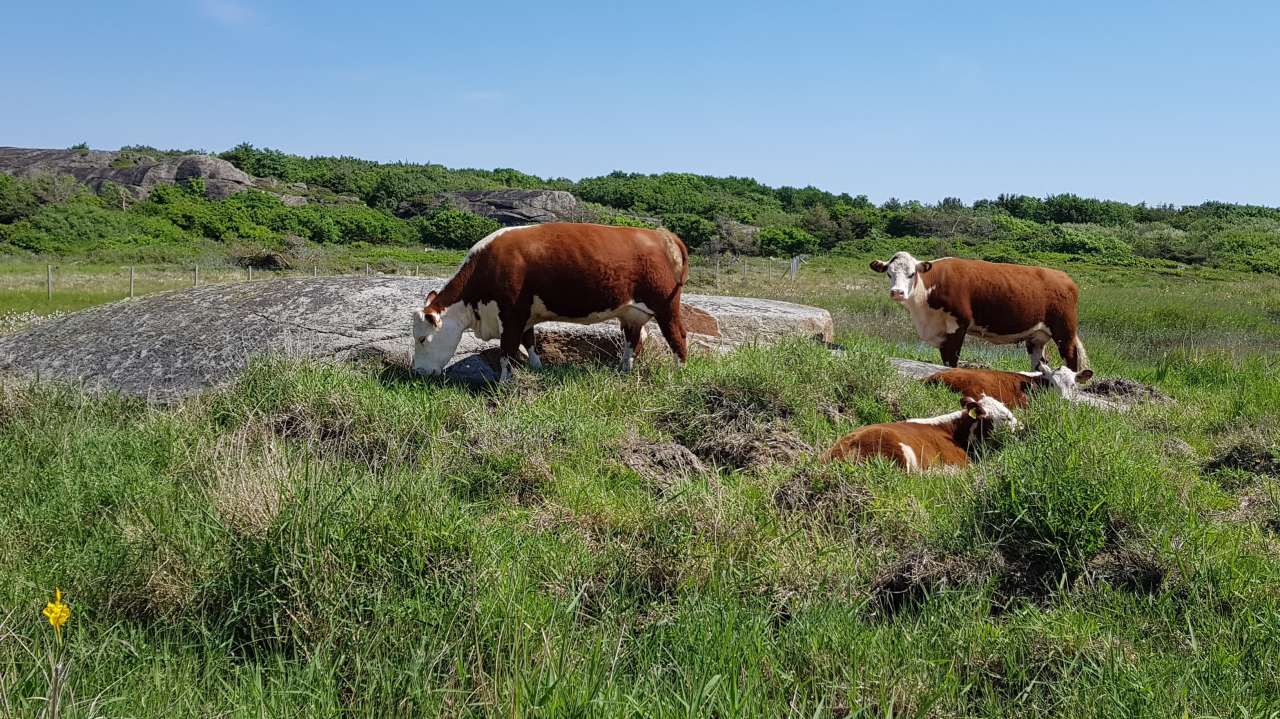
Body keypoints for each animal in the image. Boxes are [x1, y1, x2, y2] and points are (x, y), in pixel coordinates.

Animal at [409, 222, 691, 381]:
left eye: (422, 339)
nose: (417, 372)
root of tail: (661, 235)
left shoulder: (511, 314)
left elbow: (507, 351)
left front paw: (504, 383)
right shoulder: (525, 315)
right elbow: (529, 342)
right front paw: (537, 369)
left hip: (666, 305)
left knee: (677, 336)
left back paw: (678, 374)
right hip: (630, 311)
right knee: (633, 339)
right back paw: (624, 370)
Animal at [870, 250, 1090, 368]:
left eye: (911, 274)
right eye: (889, 274)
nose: (897, 292)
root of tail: (1063, 276)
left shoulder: (958, 324)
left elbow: (951, 361)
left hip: (1064, 331)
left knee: (1071, 358)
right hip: (1037, 335)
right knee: (1039, 362)